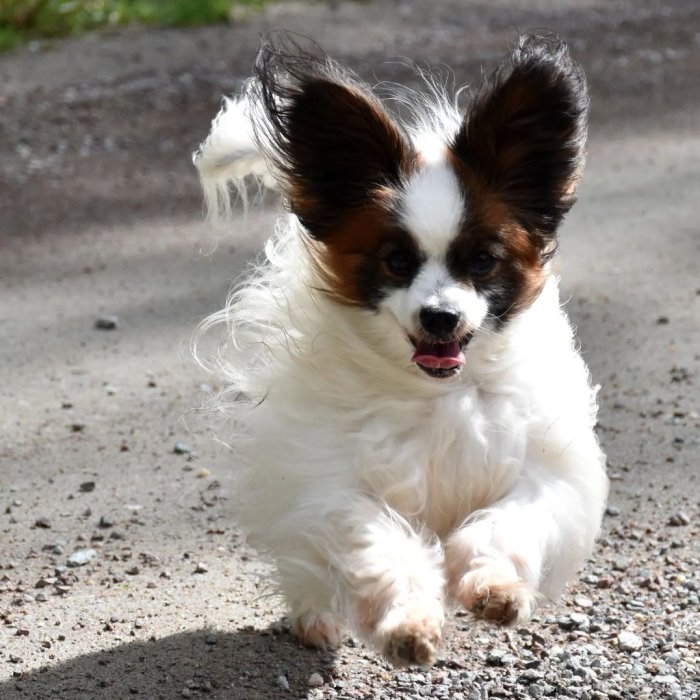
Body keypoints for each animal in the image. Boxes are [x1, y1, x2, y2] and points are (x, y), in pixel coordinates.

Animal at [191, 34, 608, 668]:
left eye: (482, 261)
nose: (440, 316)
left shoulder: (545, 470)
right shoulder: (335, 481)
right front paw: (407, 623)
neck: (437, 392)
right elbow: (380, 546)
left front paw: (496, 588)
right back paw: (314, 619)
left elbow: (506, 524)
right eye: (396, 261)